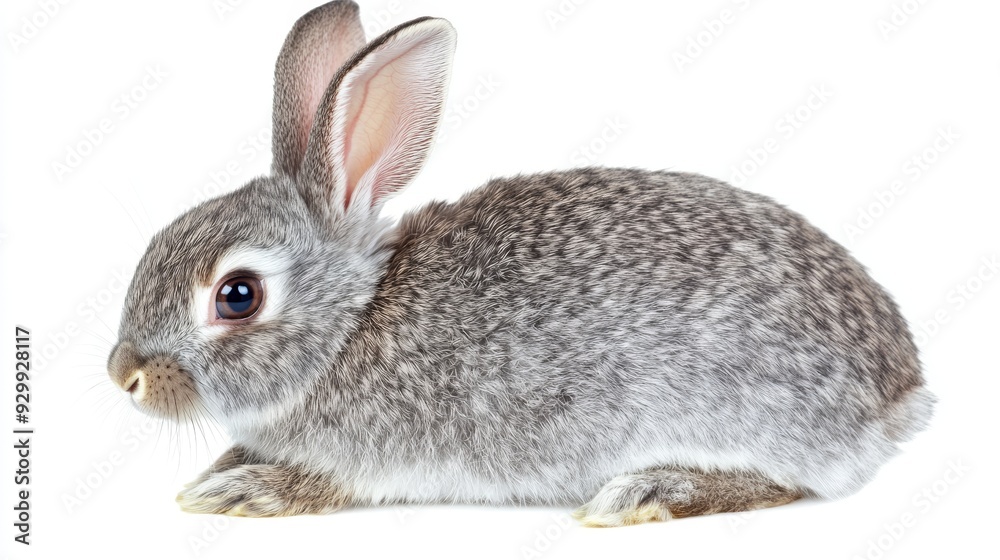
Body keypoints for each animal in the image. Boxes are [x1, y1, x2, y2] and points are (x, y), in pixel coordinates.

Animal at [106, 0, 935, 526]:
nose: (125, 375)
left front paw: (243, 490)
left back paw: (647, 494)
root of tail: (898, 393)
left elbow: (327, 484)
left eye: (237, 295)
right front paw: (217, 471)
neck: (348, 326)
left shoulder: (380, 459)